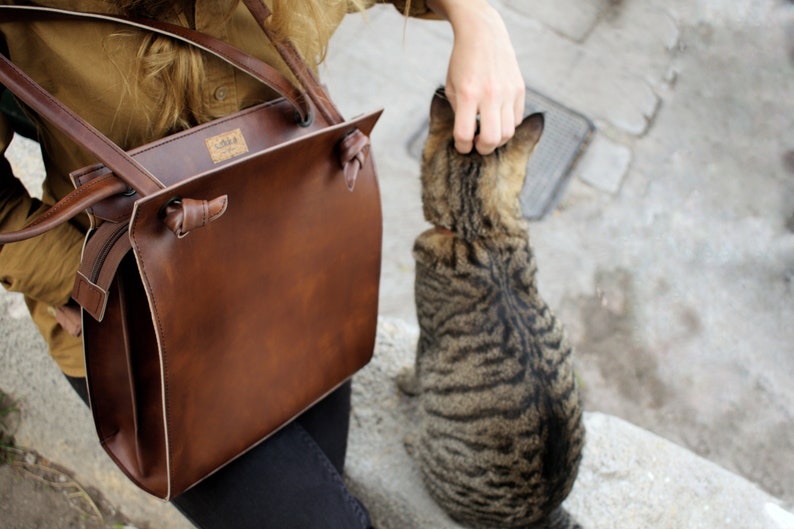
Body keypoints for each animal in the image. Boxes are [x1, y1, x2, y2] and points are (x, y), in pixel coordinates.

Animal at [400, 88, 584, 524]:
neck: (479, 232)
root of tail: (544, 512)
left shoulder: (426, 336)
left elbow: (417, 371)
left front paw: (405, 382)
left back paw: (413, 441)